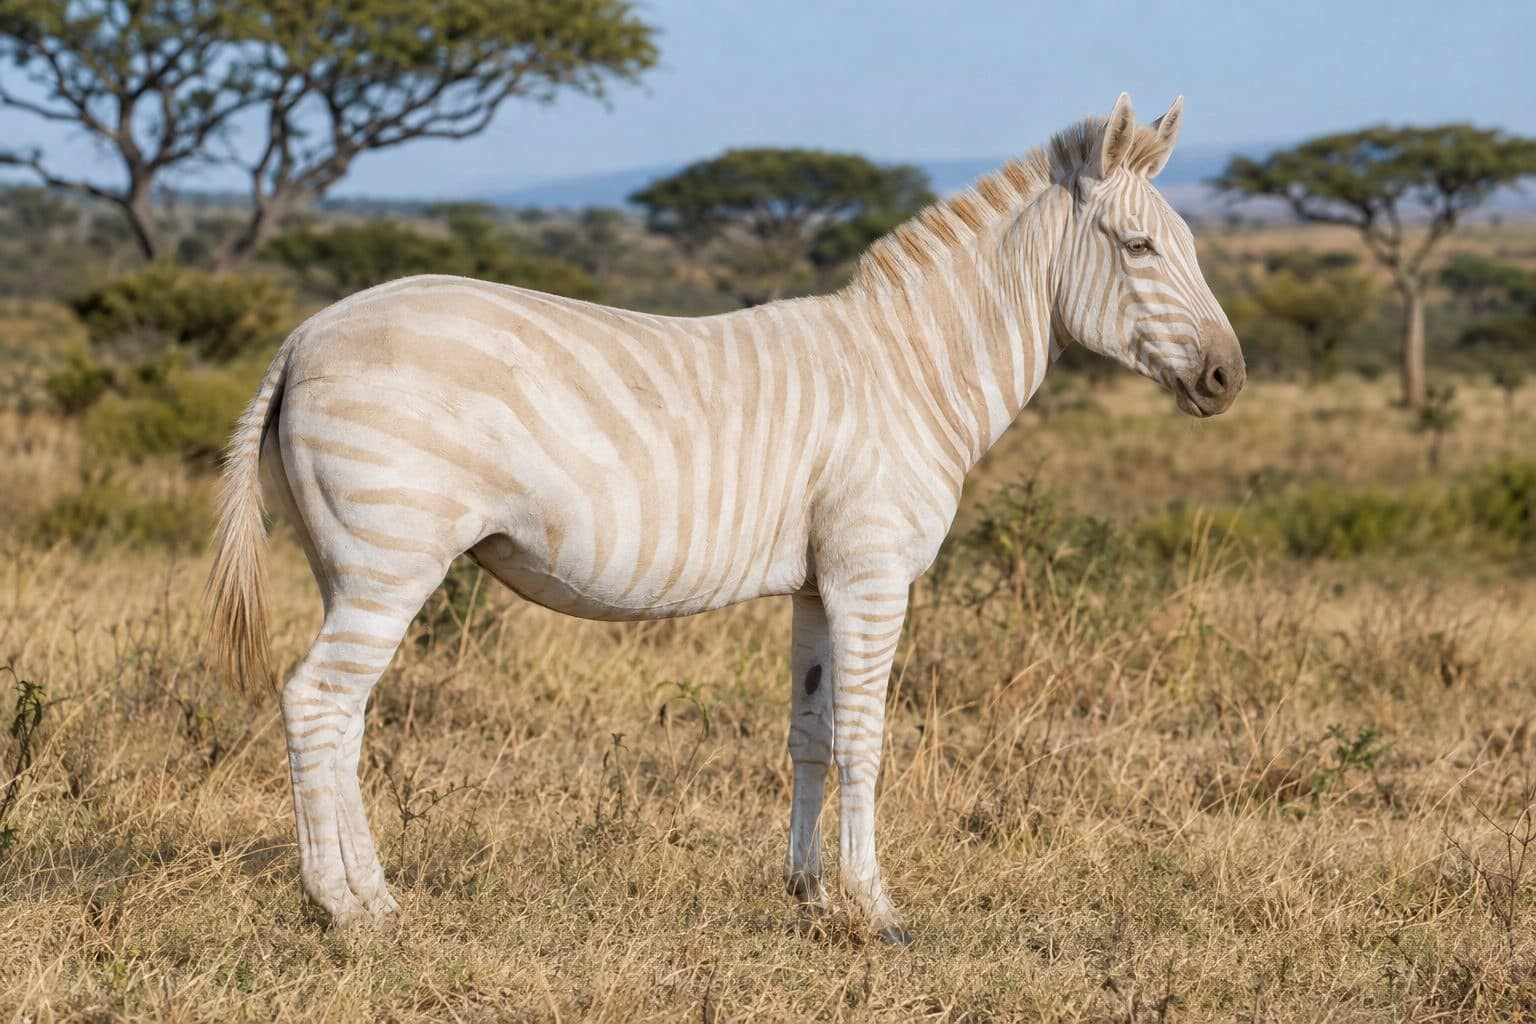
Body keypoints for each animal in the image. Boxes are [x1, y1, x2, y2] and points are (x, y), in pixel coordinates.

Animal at [208, 93, 1244, 942]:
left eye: (1194, 248)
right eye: (1141, 249)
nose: (1229, 379)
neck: (912, 375)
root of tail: (303, 334)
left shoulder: (820, 585)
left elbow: (811, 732)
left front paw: (811, 897)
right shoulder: (872, 574)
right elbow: (866, 737)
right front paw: (876, 910)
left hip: (346, 562)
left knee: (342, 714)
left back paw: (373, 899)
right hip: (391, 554)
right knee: (317, 701)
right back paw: (344, 909)